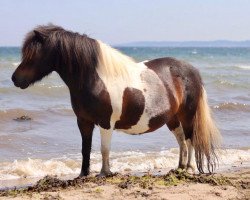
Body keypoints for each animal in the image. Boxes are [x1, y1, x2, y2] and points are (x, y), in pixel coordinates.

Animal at [12, 25, 221, 177]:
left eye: (33, 54)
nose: (15, 79)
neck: (95, 79)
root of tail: (192, 71)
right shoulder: (83, 122)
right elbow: (85, 149)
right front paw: (83, 174)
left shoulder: (106, 123)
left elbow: (104, 149)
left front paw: (105, 173)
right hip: (172, 118)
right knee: (181, 140)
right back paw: (179, 167)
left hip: (187, 115)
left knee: (190, 139)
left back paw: (190, 168)